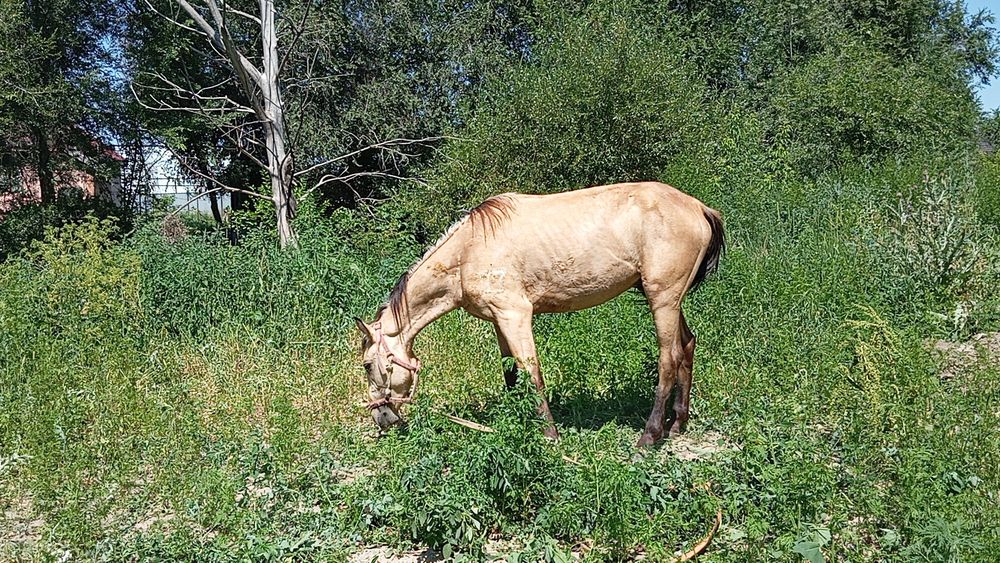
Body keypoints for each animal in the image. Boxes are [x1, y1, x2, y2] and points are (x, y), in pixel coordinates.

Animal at [355, 181, 724, 447]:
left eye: (368, 365)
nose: (382, 419)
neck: (468, 251)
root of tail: (699, 207)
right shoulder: (499, 321)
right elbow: (511, 375)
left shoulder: (515, 315)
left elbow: (532, 372)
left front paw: (549, 435)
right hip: (671, 301)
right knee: (687, 346)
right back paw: (677, 424)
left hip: (662, 299)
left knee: (668, 359)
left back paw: (649, 436)